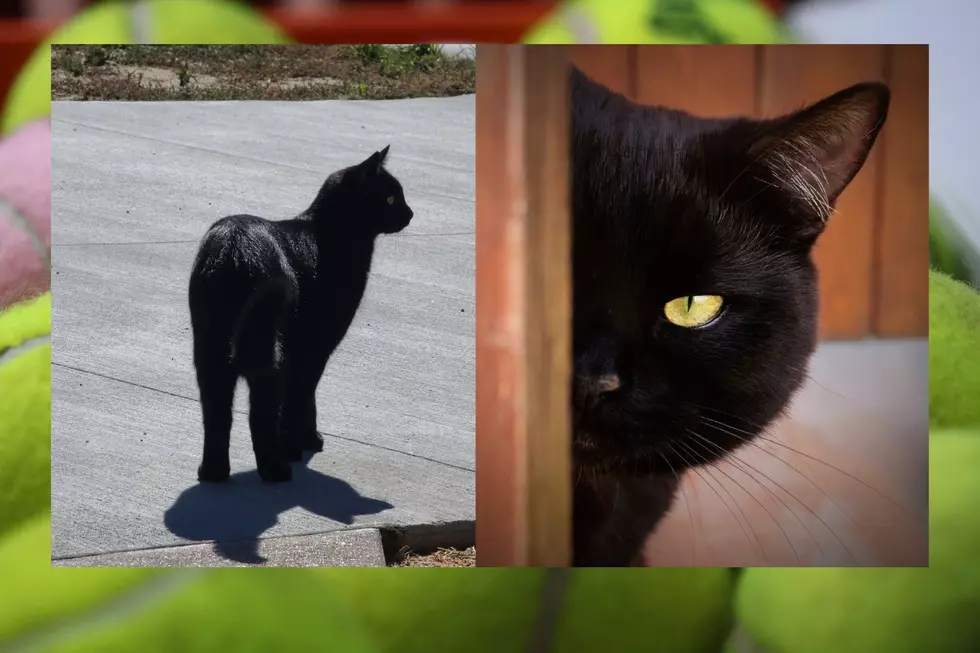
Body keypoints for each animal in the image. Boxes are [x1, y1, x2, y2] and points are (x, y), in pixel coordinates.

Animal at [189, 148, 414, 484]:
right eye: (390, 198)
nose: (410, 213)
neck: (330, 233)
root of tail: (235, 247)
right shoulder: (315, 347)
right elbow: (302, 397)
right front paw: (299, 443)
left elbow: (304, 398)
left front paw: (301, 442)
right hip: (266, 346)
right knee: (262, 413)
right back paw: (275, 469)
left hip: (210, 350)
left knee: (217, 413)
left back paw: (213, 472)